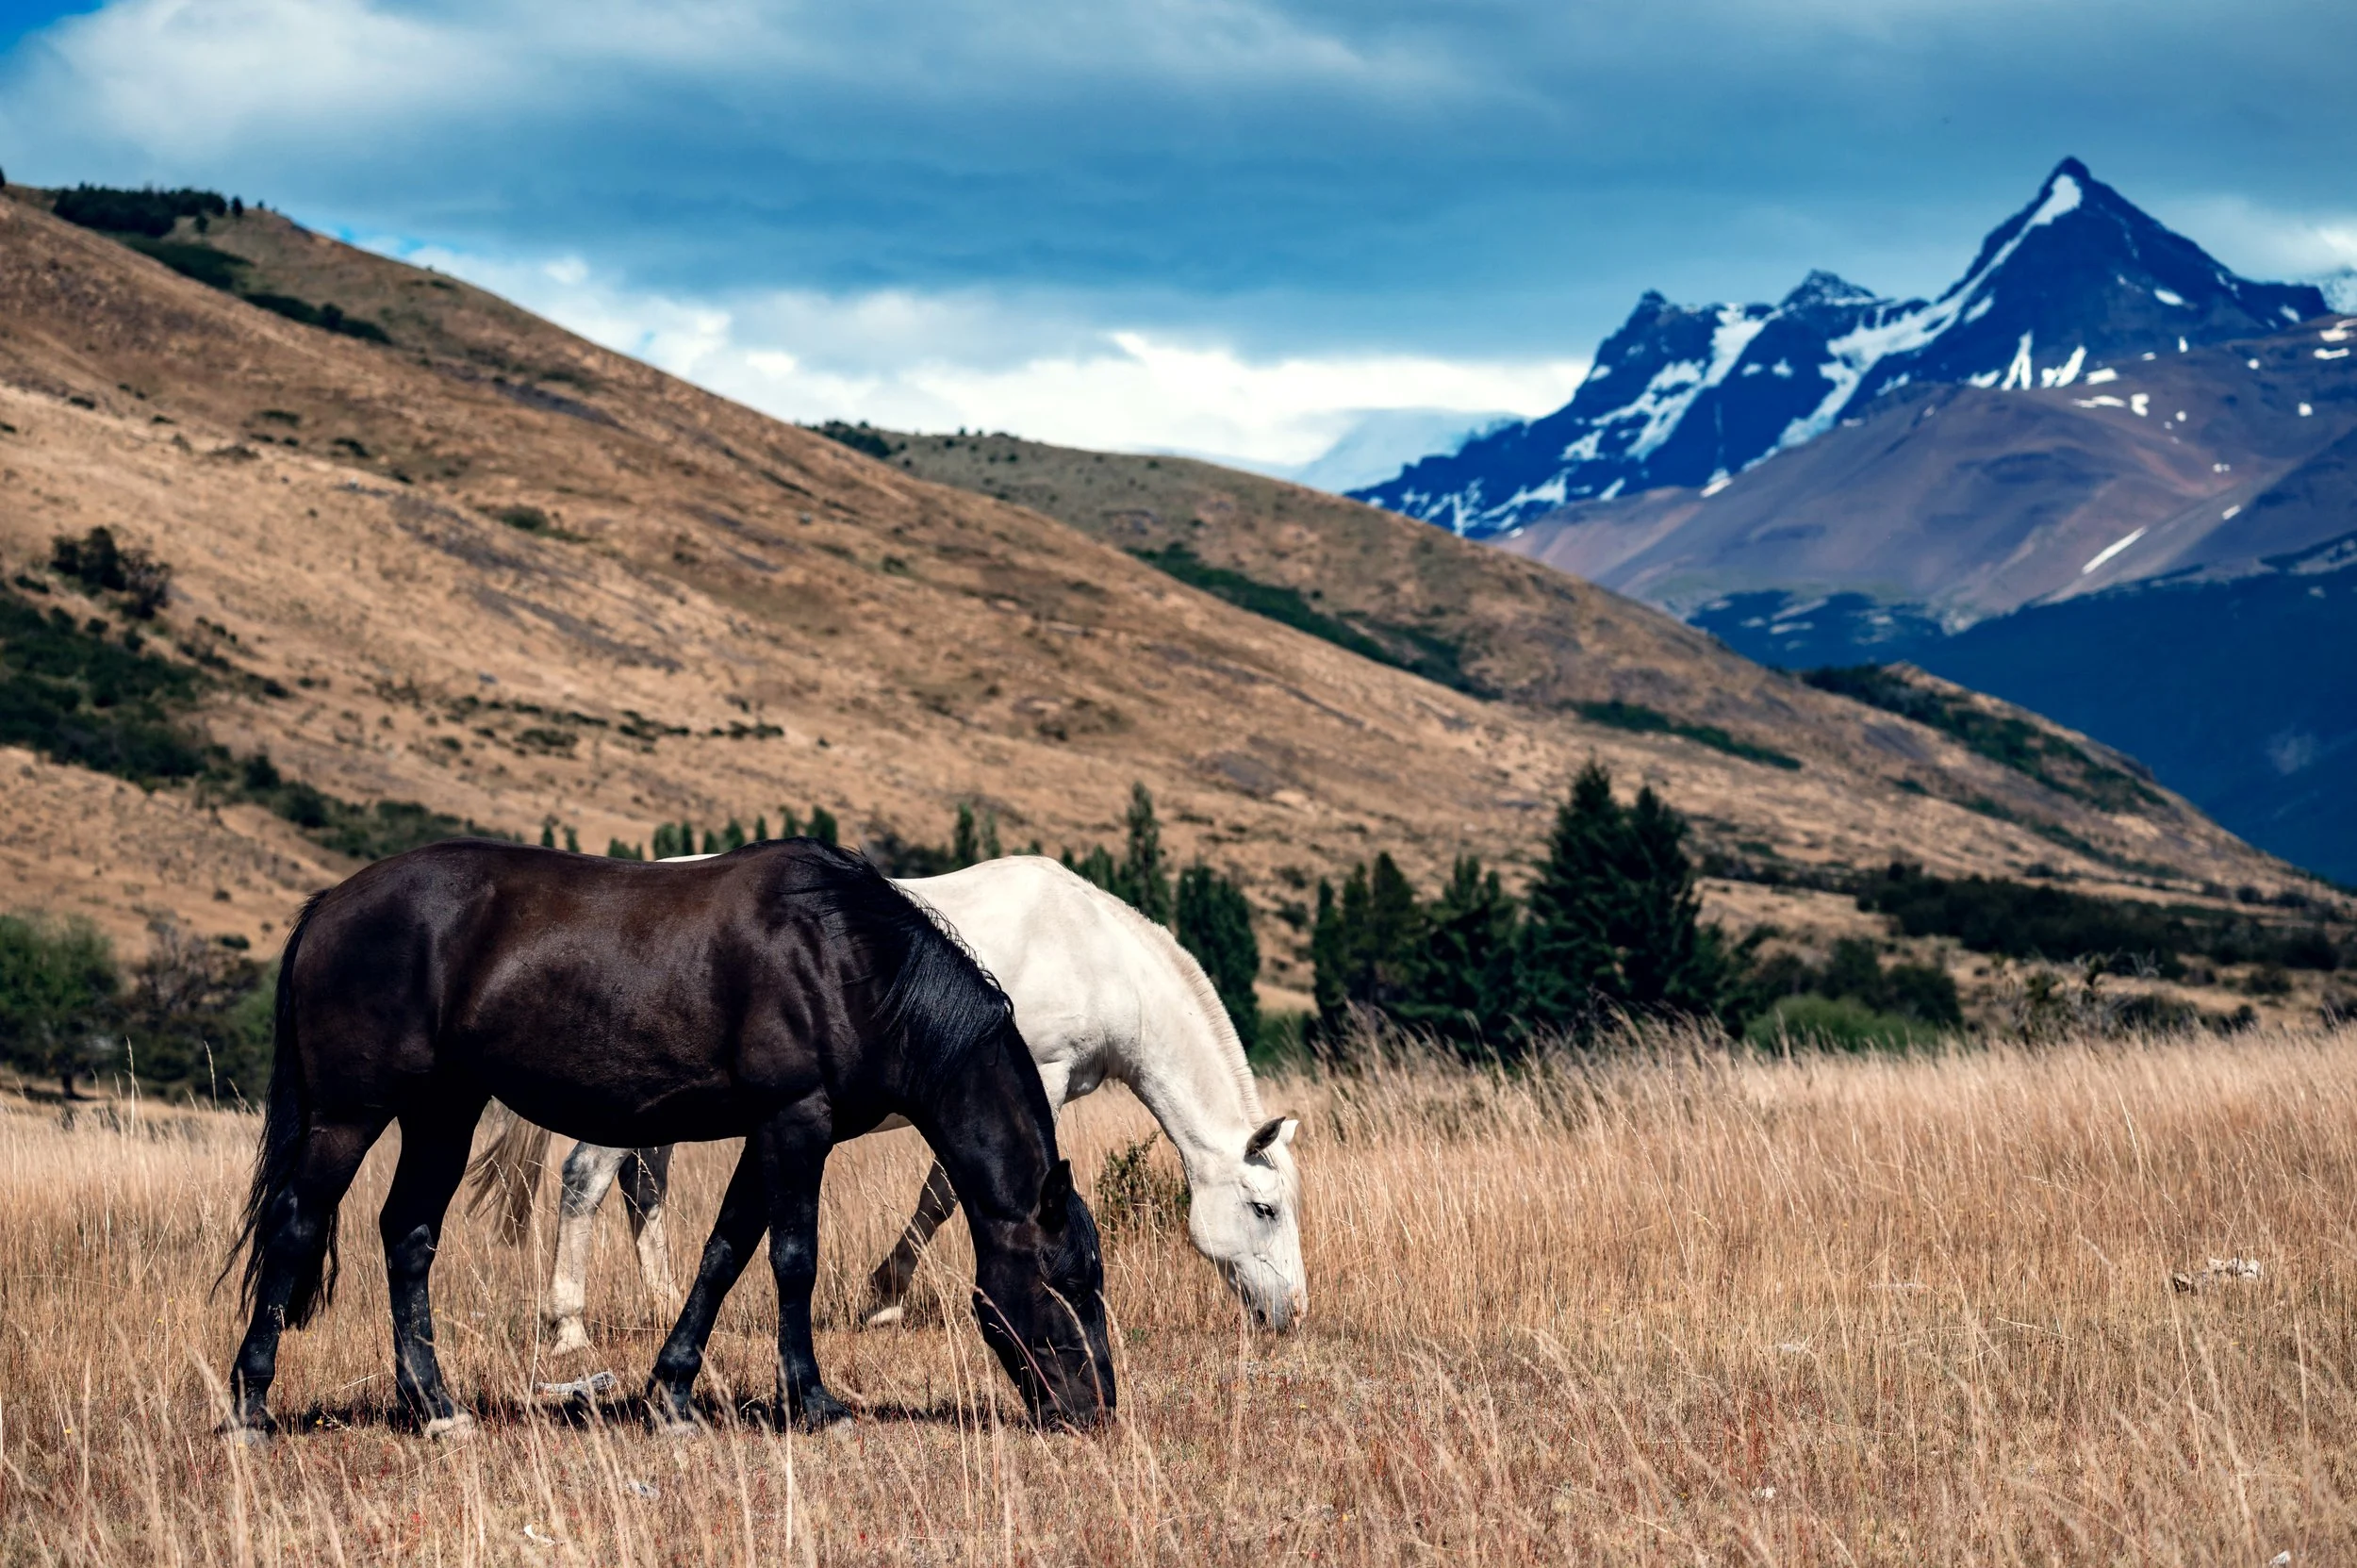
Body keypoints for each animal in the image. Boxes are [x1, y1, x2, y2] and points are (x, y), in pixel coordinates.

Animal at [220, 838, 1114, 1440]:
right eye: (1065, 1279)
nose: (1098, 1407)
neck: (847, 962)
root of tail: (330, 904)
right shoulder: (796, 1121)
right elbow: (793, 1258)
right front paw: (813, 1400)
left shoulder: (770, 1132)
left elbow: (724, 1253)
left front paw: (672, 1393)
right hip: (351, 1113)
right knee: (296, 1224)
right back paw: (251, 1404)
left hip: (443, 1109)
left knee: (407, 1234)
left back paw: (437, 1406)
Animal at [470, 855, 1306, 1351]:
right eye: (1265, 1208)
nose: (1292, 1312)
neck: (1096, 953)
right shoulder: (1037, 1076)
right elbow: (947, 1194)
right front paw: (886, 1296)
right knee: (584, 1179)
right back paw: (569, 1325)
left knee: (643, 1188)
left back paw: (664, 1301)